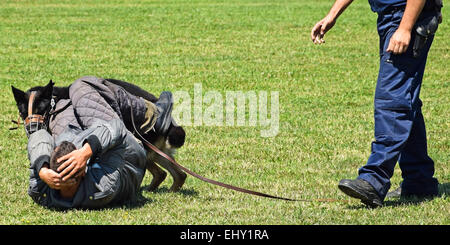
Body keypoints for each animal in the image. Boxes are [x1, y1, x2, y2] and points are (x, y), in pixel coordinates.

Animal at [12, 78, 187, 191]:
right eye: (23, 112)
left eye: (41, 109)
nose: (32, 129)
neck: (55, 103)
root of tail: (169, 123)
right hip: (155, 152)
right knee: (174, 174)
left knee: (166, 173)